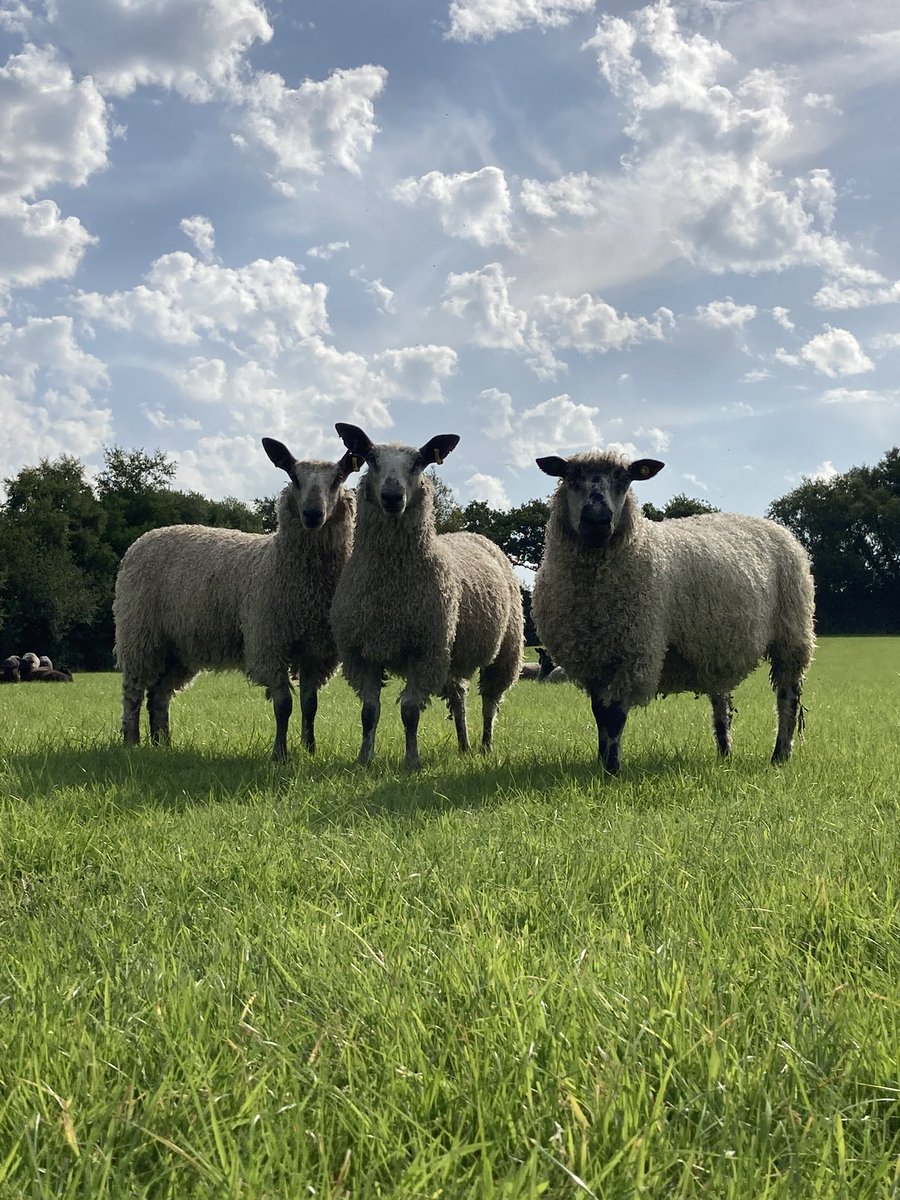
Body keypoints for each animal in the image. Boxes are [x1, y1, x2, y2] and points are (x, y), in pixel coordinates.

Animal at [114, 437, 356, 760]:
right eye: (294, 477)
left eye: (339, 478)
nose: (313, 514)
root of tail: (144, 538)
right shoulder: (267, 643)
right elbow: (283, 705)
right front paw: (280, 754)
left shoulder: (315, 651)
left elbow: (310, 705)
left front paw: (310, 750)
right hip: (139, 634)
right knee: (134, 692)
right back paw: (132, 741)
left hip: (178, 647)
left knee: (159, 695)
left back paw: (162, 745)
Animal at [330, 423, 524, 771]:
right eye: (371, 458)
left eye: (419, 462)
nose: (392, 497)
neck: (391, 586)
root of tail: (472, 534)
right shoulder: (361, 653)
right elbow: (368, 712)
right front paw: (364, 759)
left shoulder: (425, 650)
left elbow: (409, 710)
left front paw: (411, 761)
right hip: (452, 654)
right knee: (459, 698)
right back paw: (463, 745)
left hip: (504, 649)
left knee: (490, 700)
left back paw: (485, 746)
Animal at [532, 450, 815, 773]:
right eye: (571, 477)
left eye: (624, 479)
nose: (597, 519)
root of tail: (778, 528)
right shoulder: (594, 658)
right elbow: (600, 714)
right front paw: (602, 761)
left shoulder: (635, 649)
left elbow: (614, 715)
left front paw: (612, 769)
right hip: (718, 644)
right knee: (722, 704)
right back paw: (724, 753)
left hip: (792, 635)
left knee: (787, 698)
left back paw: (780, 755)